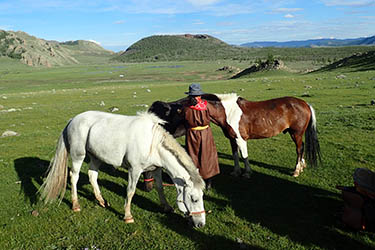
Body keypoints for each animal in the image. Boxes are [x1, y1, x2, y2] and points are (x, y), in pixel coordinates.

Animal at [39, 110, 207, 228]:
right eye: (194, 198)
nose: (200, 224)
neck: (152, 144)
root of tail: (72, 120)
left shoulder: (157, 169)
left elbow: (160, 187)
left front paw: (166, 207)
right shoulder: (134, 170)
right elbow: (130, 192)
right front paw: (128, 216)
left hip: (95, 157)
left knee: (92, 175)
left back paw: (101, 201)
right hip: (78, 155)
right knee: (74, 177)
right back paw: (75, 205)